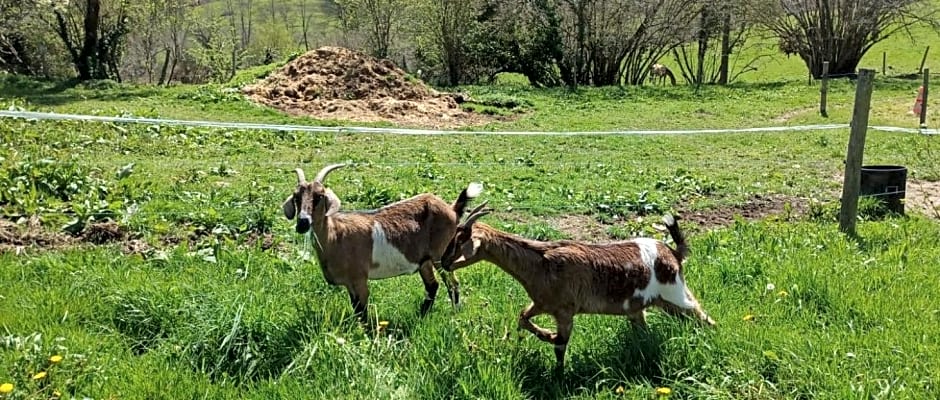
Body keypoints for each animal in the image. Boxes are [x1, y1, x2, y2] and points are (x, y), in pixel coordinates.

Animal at [282, 164, 482, 324]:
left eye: (319, 196)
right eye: (296, 197)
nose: (303, 222)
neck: (336, 236)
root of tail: (452, 209)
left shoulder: (360, 279)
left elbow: (362, 311)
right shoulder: (349, 283)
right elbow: (356, 308)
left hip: (440, 256)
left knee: (452, 283)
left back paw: (454, 314)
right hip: (424, 261)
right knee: (433, 286)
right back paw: (421, 316)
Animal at [440, 209, 712, 368]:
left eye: (459, 242)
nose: (443, 262)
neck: (540, 261)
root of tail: (673, 254)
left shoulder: (565, 311)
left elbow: (560, 345)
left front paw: (558, 372)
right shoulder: (542, 303)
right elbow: (522, 317)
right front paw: (546, 335)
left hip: (676, 295)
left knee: (705, 318)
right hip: (643, 308)